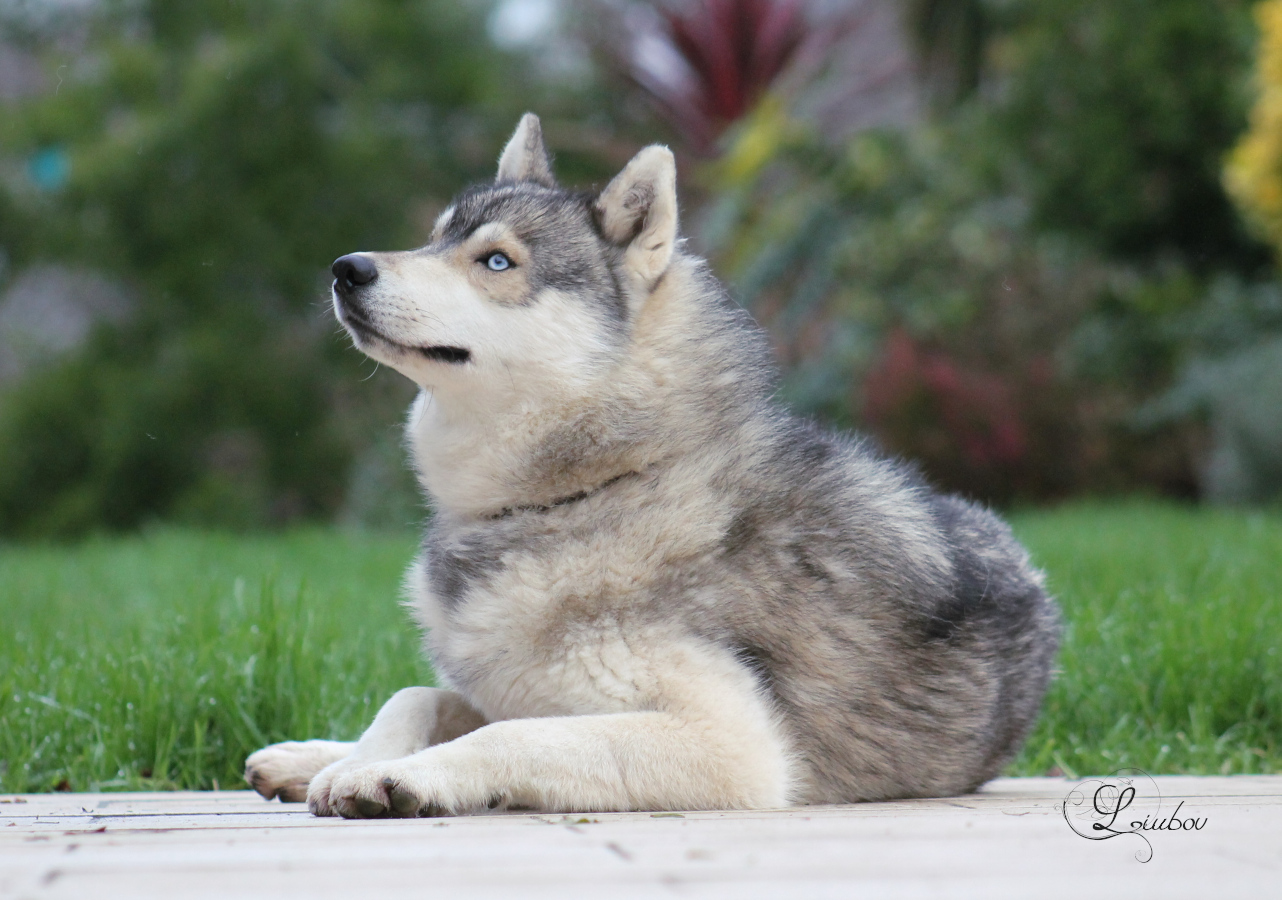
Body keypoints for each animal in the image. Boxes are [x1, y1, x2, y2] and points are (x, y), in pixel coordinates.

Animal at [244, 114, 1060, 817]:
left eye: (497, 261)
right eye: (431, 239)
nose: (347, 268)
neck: (591, 487)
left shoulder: (730, 745)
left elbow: (510, 731)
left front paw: (399, 775)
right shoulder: (503, 682)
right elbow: (415, 696)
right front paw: (347, 759)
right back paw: (299, 758)